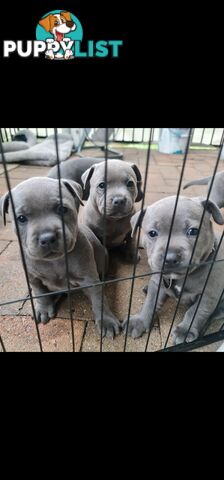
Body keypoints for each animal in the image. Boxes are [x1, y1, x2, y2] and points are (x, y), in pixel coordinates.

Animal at [0, 176, 121, 338]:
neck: (54, 261)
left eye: (62, 209)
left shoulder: (89, 279)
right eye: (21, 218)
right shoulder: (33, 278)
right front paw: (44, 309)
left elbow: (99, 299)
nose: (47, 237)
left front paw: (106, 320)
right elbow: (40, 293)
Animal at [124, 195, 224, 344]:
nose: (170, 258)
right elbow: (150, 303)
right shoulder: (157, 283)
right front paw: (140, 321)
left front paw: (185, 330)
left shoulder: (208, 295)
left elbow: (195, 312)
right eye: (152, 233)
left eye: (193, 231)